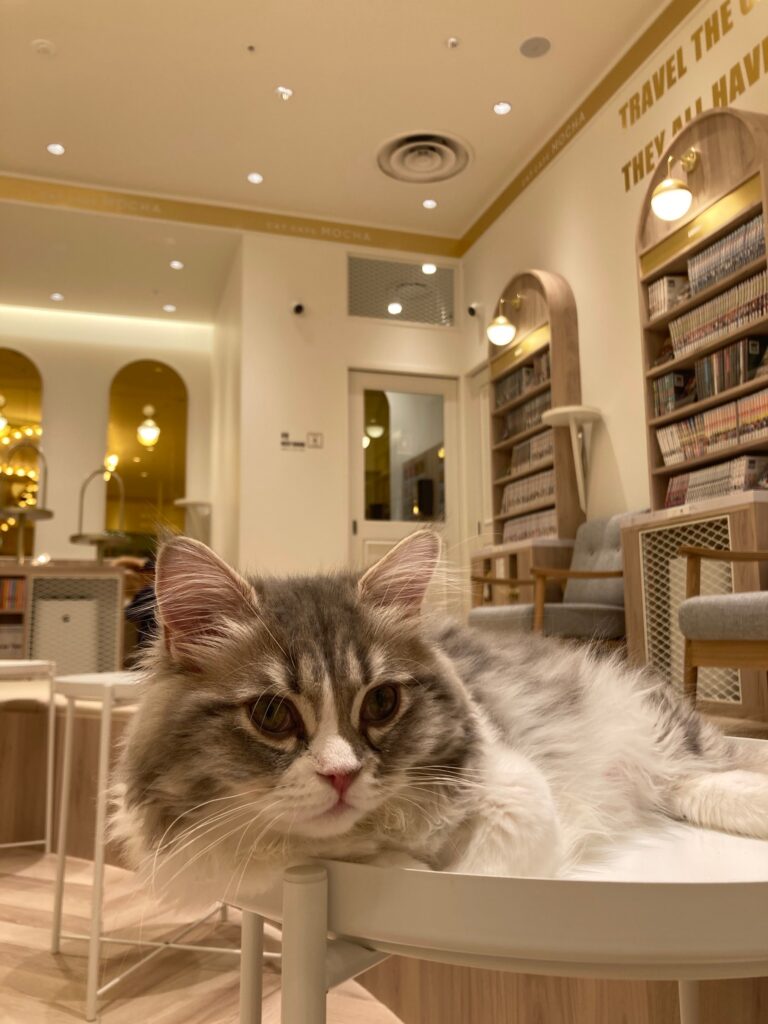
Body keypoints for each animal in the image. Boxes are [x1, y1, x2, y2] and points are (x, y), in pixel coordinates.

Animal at [111, 529, 768, 906]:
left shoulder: (517, 791)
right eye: (272, 714)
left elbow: (477, 875)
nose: (341, 776)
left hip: (658, 731)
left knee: (711, 765)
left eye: (381, 703)